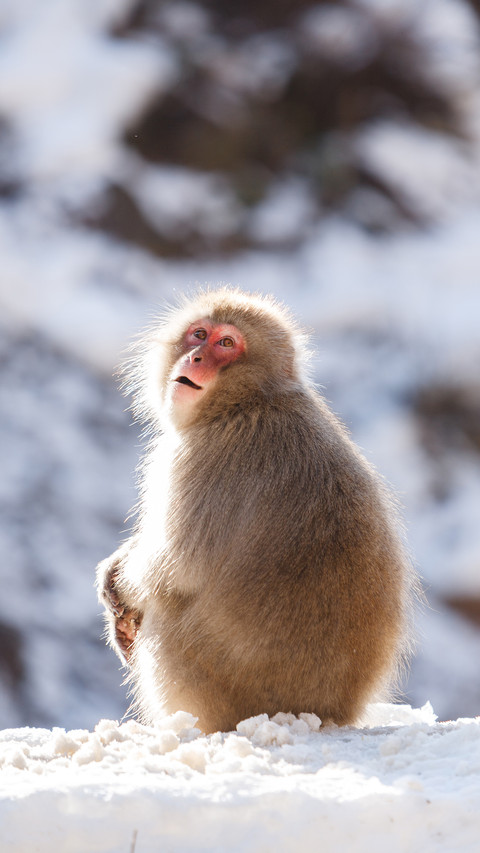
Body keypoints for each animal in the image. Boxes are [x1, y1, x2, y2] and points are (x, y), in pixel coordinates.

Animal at [96, 287, 414, 734]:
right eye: (199, 334)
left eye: (227, 344)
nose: (195, 358)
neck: (250, 401)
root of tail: (332, 713)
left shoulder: (204, 460)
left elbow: (177, 566)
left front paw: (118, 587)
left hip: (223, 684)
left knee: (167, 614)